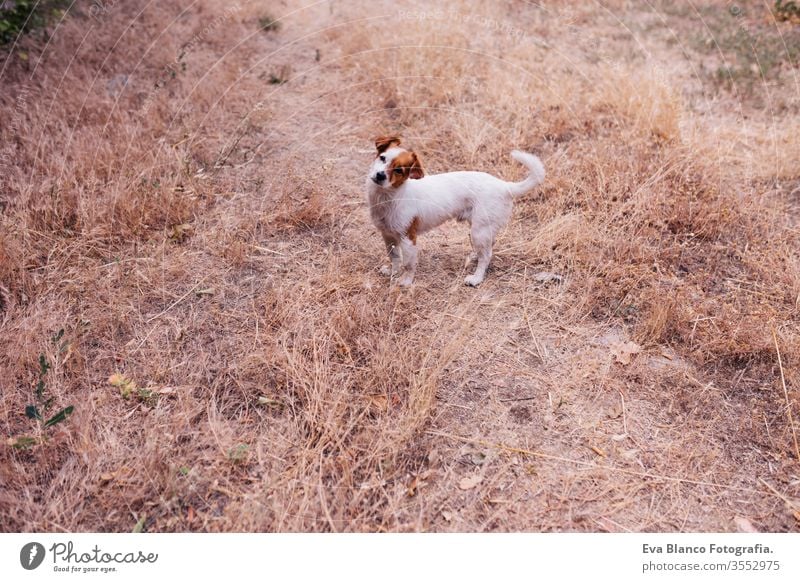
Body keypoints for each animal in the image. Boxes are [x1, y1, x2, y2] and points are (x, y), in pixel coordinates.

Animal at [368, 139, 544, 290]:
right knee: (488, 247)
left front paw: (405, 281)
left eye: (399, 170)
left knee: (487, 255)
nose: (380, 175)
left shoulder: (408, 238)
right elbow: (395, 257)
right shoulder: (388, 235)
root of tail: (505, 186)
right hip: (483, 229)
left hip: (478, 231)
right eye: (382, 158)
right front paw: (393, 272)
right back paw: (475, 257)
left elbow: (408, 264)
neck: (389, 196)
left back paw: (476, 278)